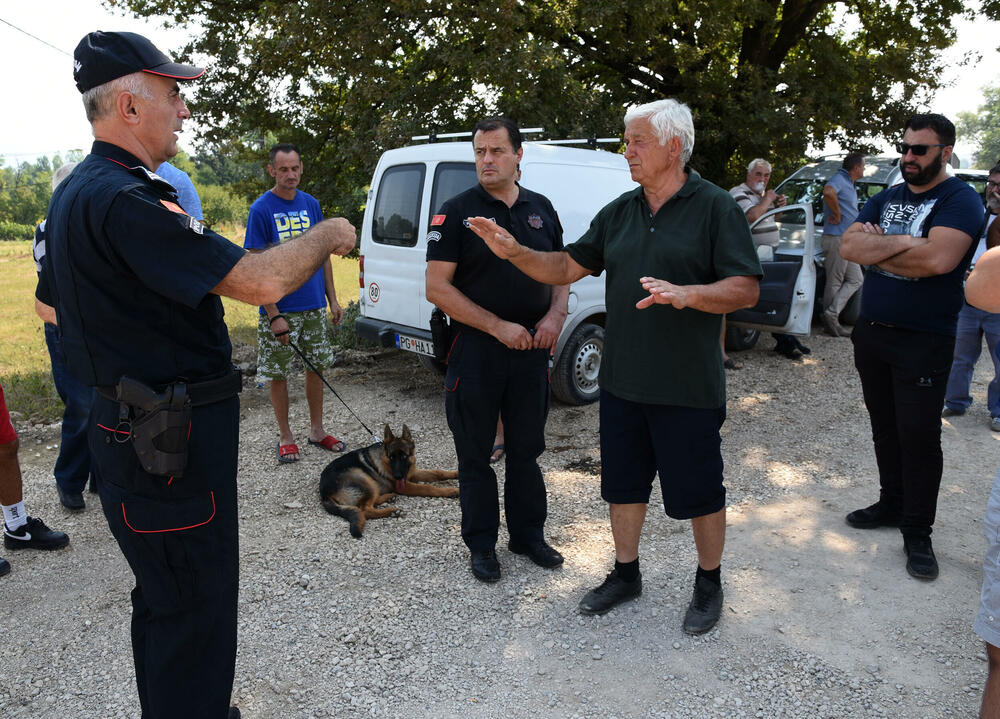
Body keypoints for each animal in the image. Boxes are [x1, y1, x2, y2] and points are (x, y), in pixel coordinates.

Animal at [320, 424, 460, 536]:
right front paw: (451, 491)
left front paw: (456, 473)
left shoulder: (412, 474)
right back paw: (391, 511)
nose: (397, 476)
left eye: (404, 456)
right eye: (391, 457)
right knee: (365, 509)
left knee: (370, 503)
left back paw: (389, 497)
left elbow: (438, 472)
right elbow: (428, 487)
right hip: (364, 479)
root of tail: (324, 493)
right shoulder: (405, 485)